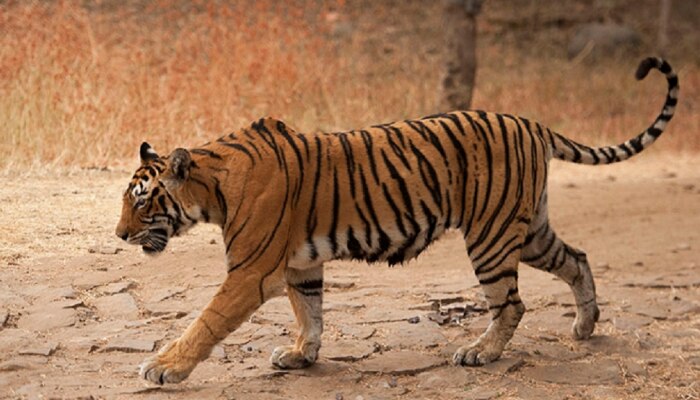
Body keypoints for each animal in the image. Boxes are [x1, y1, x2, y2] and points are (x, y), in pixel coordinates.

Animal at [116, 57, 680, 384]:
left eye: (142, 202)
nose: (119, 235)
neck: (212, 188)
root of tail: (531, 122)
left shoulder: (251, 272)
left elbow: (205, 321)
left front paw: (163, 367)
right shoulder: (300, 265)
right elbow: (310, 313)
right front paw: (302, 356)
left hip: (492, 236)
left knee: (512, 304)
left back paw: (480, 353)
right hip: (528, 229)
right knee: (577, 259)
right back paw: (585, 327)